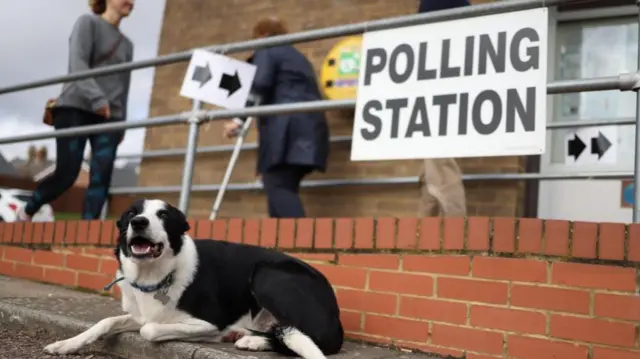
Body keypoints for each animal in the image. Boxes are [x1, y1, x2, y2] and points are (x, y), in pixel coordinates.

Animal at [43, 201, 344, 358]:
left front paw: (220, 335)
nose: (139, 222)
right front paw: (66, 344)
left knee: (317, 338)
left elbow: (149, 330)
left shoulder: (209, 320)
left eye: (164, 214)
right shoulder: (140, 313)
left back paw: (250, 339)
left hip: (266, 274)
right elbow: (105, 322)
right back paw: (250, 337)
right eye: (130, 213)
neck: (155, 274)